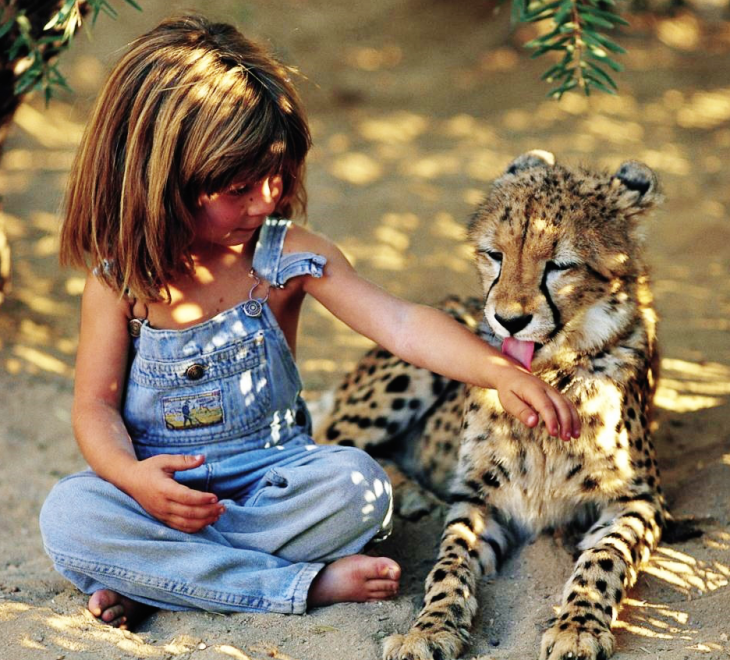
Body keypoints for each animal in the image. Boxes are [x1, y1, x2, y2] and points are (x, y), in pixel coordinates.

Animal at [318, 152, 688, 656]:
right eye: (495, 255)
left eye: (560, 264)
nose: (509, 320)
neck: (548, 378)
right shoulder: (478, 498)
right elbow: (449, 563)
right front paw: (428, 628)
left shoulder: (639, 501)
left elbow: (604, 559)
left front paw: (578, 626)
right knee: (328, 442)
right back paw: (407, 494)